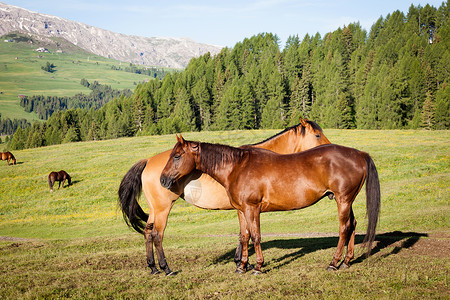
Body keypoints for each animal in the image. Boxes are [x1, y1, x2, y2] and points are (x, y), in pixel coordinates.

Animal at [118, 118, 330, 276]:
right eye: (317, 135)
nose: (330, 148)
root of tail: (148, 161)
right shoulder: (244, 208)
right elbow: (247, 235)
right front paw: (244, 264)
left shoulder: (242, 208)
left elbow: (244, 235)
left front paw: (242, 263)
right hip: (163, 208)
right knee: (157, 234)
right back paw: (166, 268)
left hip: (155, 209)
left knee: (147, 232)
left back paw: (153, 267)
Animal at [161, 136, 380, 274]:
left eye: (177, 156)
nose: (163, 180)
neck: (237, 167)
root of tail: (359, 154)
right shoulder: (241, 210)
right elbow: (245, 236)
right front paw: (241, 266)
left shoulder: (252, 208)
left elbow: (256, 236)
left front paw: (258, 267)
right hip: (346, 201)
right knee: (352, 225)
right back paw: (346, 262)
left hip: (343, 200)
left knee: (344, 228)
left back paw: (334, 263)